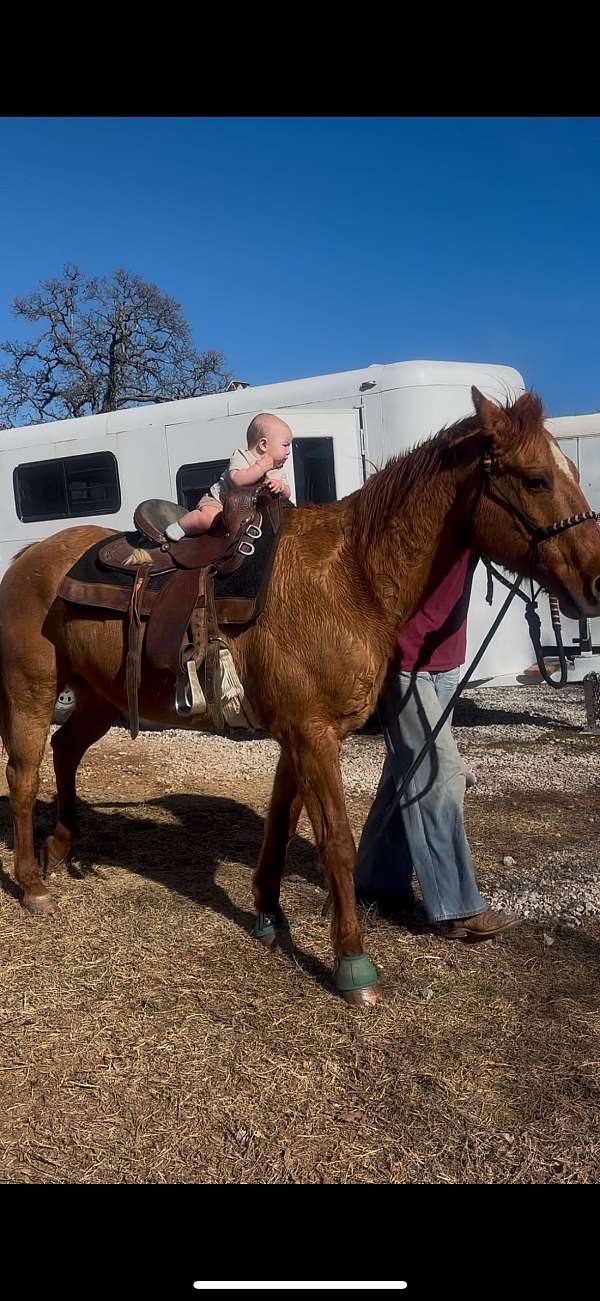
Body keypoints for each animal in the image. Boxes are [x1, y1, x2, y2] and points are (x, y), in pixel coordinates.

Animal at [1, 385, 598, 1004]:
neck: (350, 578)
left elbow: (280, 825)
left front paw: (269, 915)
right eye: (536, 480)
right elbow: (335, 840)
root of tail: (30, 557)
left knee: (67, 750)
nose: (596, 580)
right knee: (25, 774)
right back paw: (31, 883)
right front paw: (352, 962)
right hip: (32, 690)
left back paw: (61, 846)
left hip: (100, 696)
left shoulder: (296, 734)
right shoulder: (314, 735)